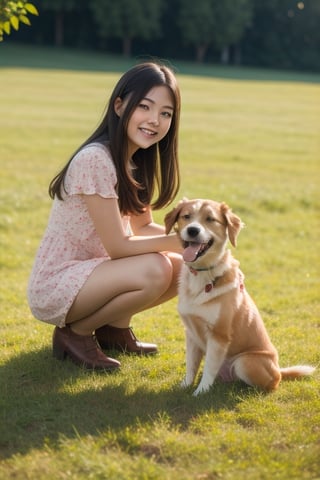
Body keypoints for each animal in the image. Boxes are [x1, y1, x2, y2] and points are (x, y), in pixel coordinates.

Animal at [165, 197, 316, 396]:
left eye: (210, 219)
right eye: (186, 216)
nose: (192, 230)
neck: (202, 274)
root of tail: (278, 370)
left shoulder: (219, 336)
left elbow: (209, 368)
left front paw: (200, 392)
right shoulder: (191, 333)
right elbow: (191, 365)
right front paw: (185, 385)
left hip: (244, 362)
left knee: (270, 384)